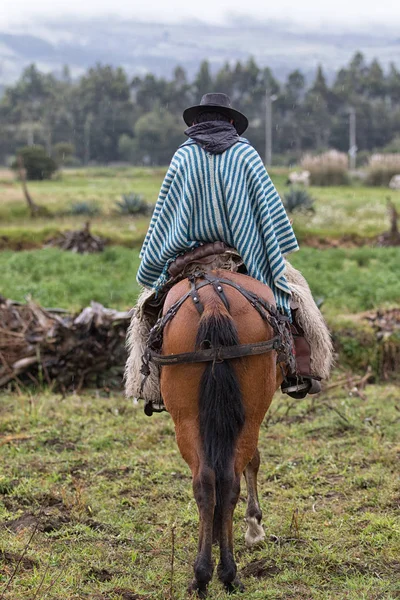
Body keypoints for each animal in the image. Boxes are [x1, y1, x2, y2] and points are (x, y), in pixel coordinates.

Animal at [158, 270, 286, 596]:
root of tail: (214, 302)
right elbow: (251, 462)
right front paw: (251, 525)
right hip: (243, 415)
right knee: (225, 478)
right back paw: (224, 572)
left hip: (189, 418)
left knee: (209, 480)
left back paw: (207, 574)